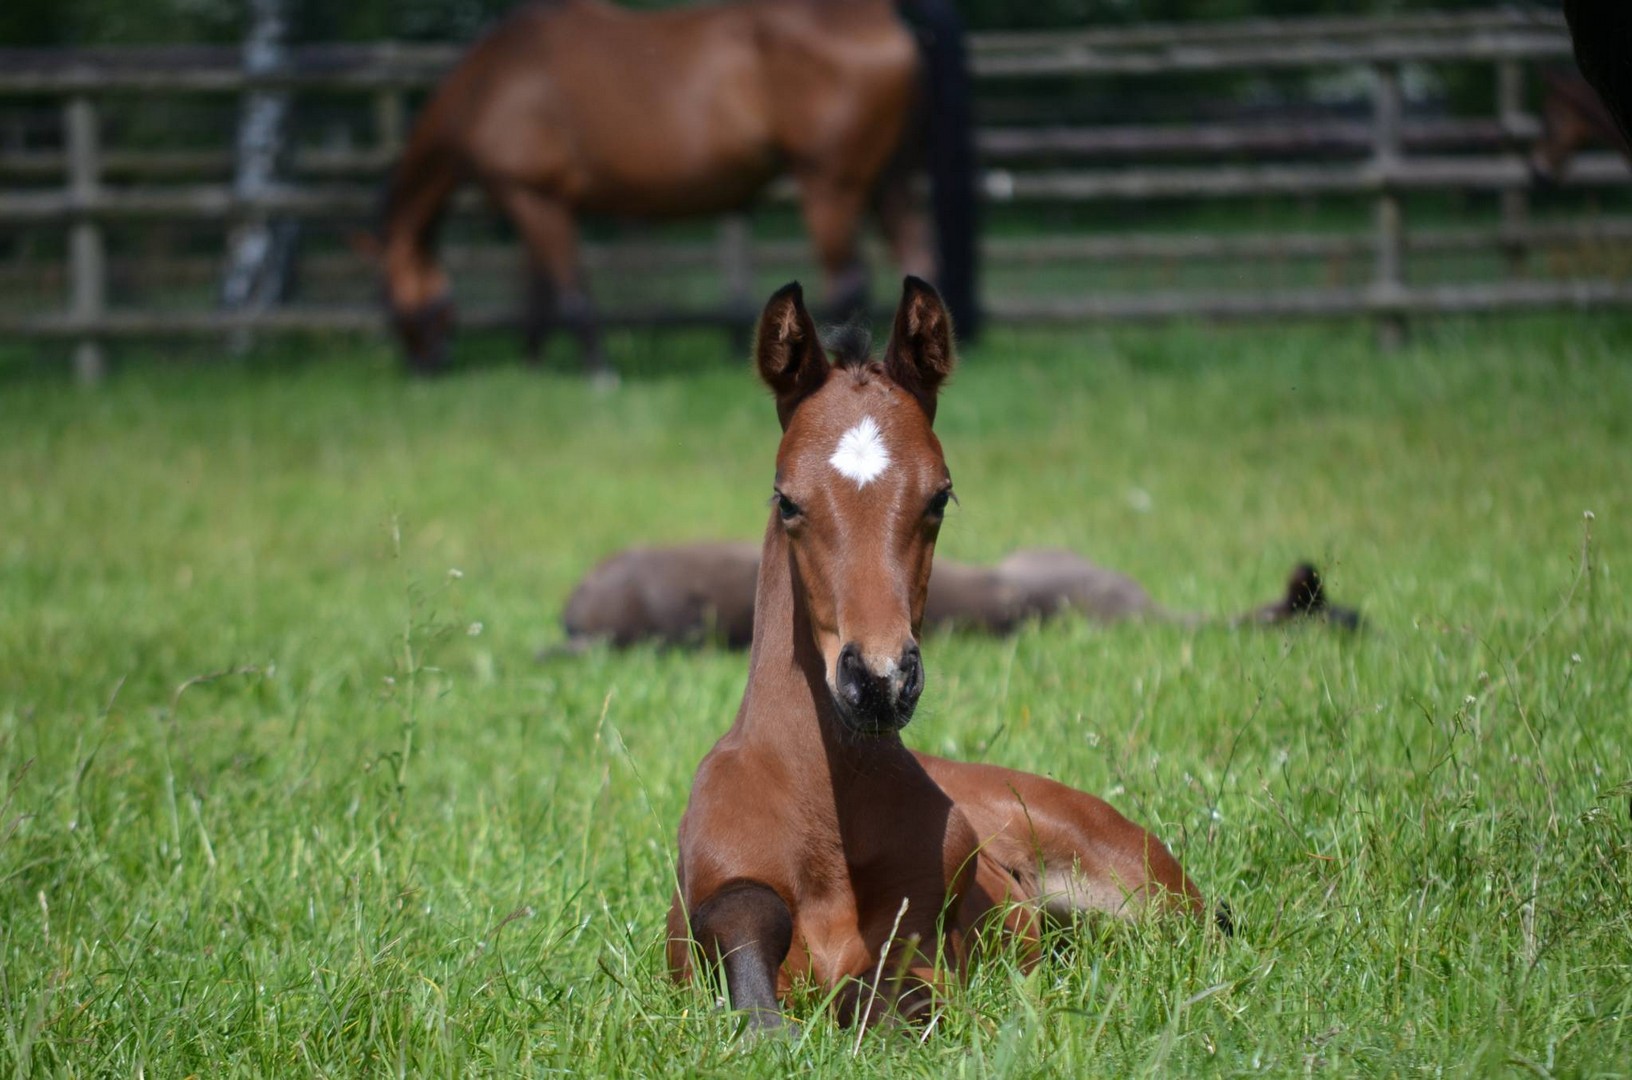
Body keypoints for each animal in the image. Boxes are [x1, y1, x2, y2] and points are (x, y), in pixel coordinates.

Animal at [375, 0, 978, 378]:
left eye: (393, 302)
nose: (424, 369)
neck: (494, 81)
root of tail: (886, 12)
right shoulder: (534, 201)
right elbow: (540, 294)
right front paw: (532, 365)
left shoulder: (533, 198)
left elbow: (570, 291)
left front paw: (598, 373)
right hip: (889, 182)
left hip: (832, 185)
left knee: (848, 278)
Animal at [665, 278, 1203, 1031]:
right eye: (787, 500)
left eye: (940, 497)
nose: (880, 680)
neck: (825, 818)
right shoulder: (710, 909)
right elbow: (747, 929)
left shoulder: (922, 939)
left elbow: (880, 994)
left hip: (1150, 896)